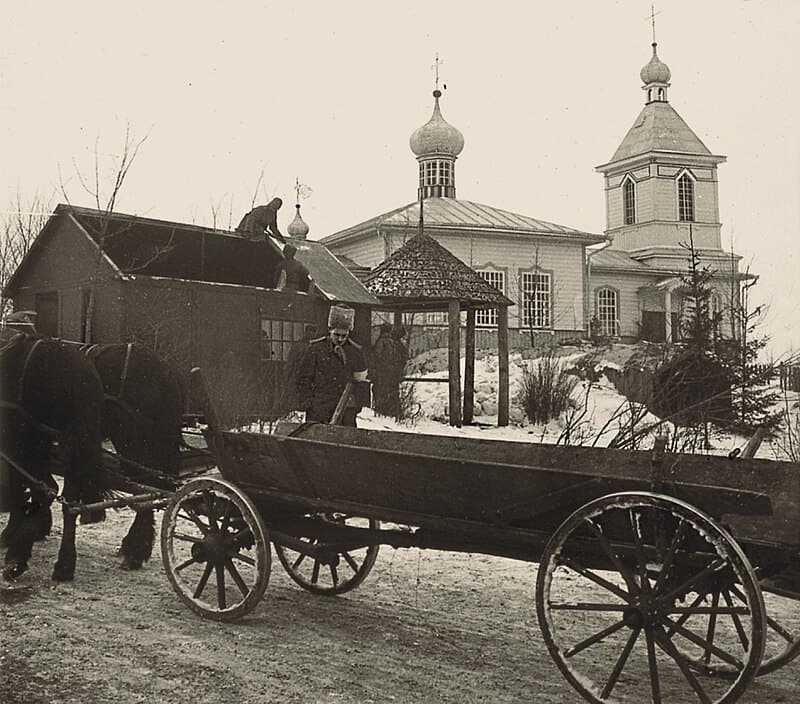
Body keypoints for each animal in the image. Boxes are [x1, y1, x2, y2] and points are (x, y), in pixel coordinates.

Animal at [0, 332, 106, 580]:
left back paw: (17, 555)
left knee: (44, 488)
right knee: (68, 499)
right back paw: (64, 564)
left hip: (30, 441)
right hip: (71, 443)